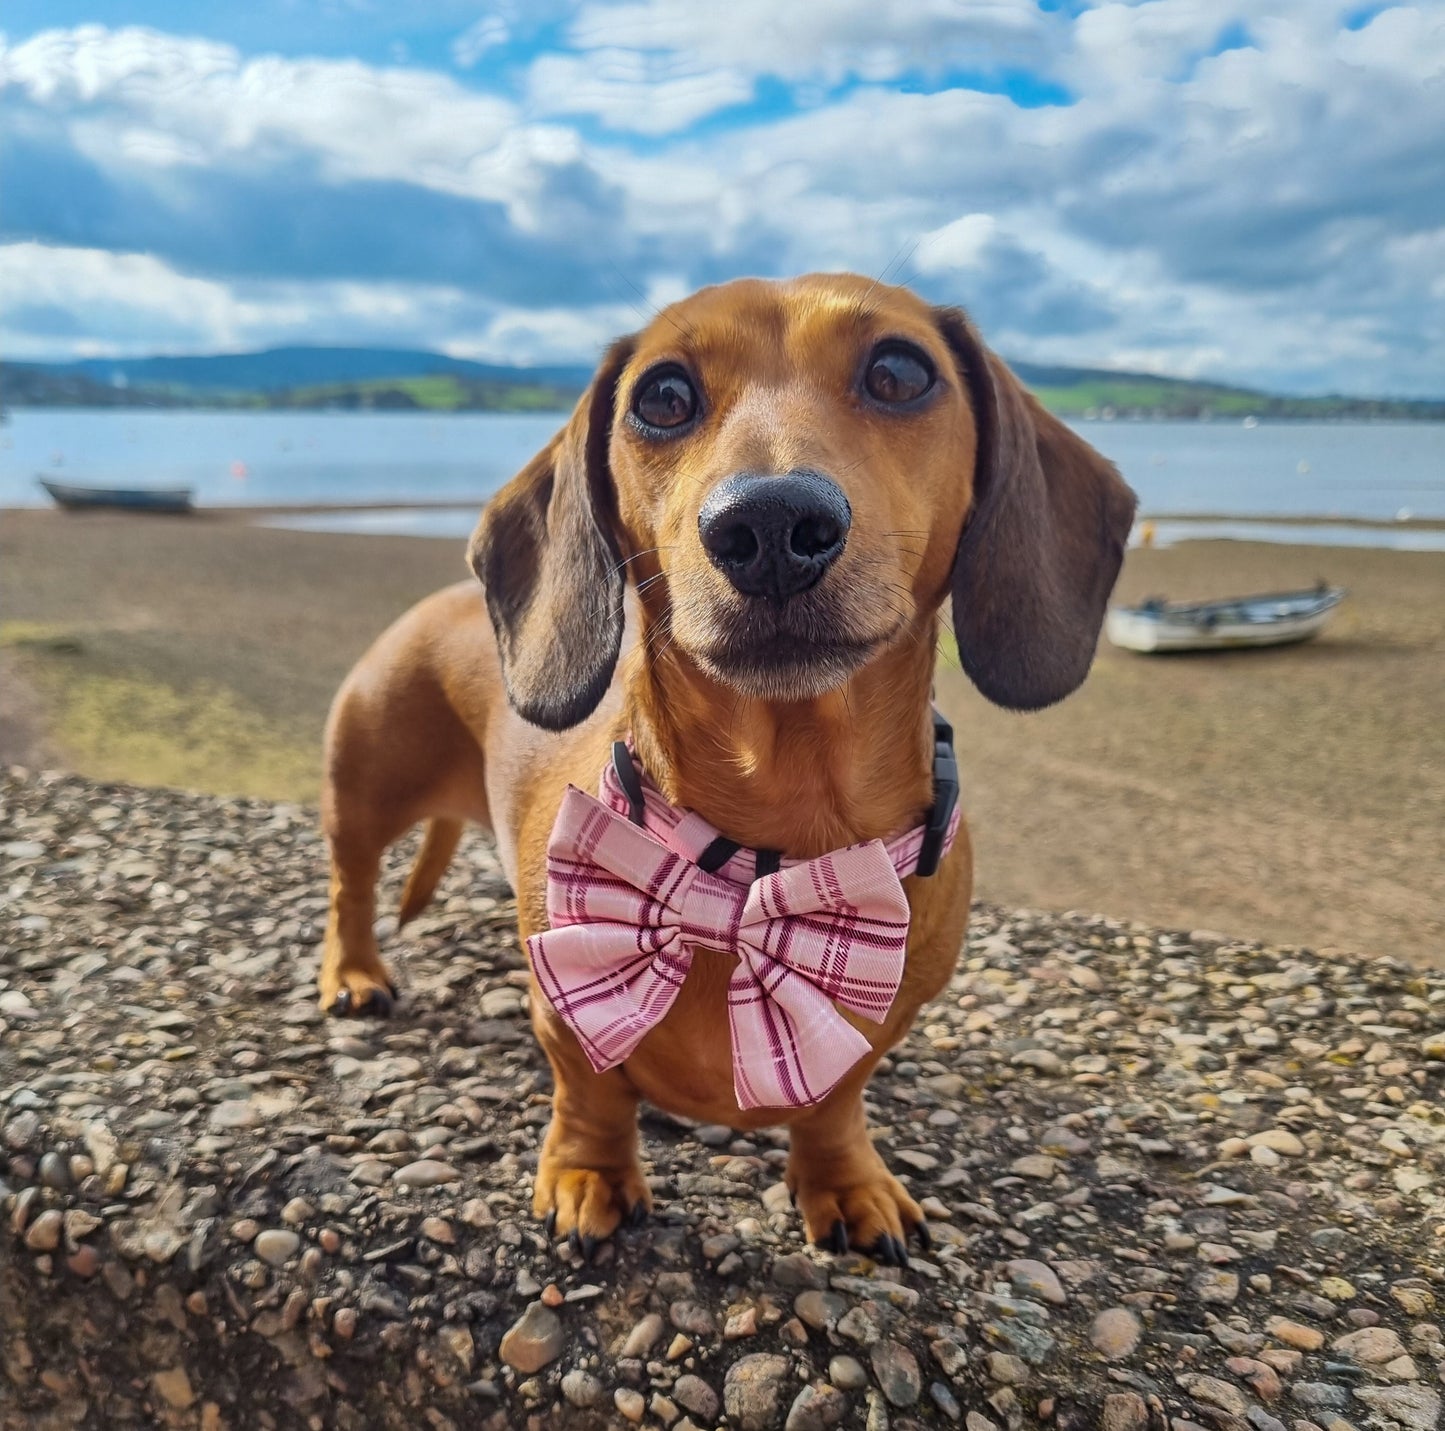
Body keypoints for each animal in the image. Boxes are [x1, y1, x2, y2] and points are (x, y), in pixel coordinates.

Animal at [319, 274, 1138, 1260]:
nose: (770, 524)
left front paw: (846, 1181)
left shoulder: (870, 1030)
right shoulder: (561, 1000)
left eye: (900, 372)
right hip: (362, 787)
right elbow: (588, 1088)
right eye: (663, 395)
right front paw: (588, 1175)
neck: (761, 860)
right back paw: (353, 974)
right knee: (350, 887)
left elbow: (835, 1102)